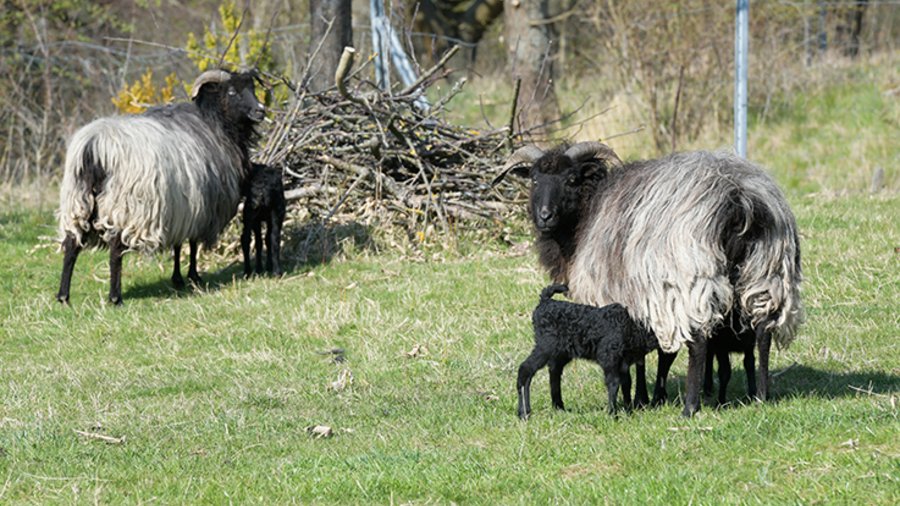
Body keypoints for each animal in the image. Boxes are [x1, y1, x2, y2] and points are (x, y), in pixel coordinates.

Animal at [56, 67, 264, 304]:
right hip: (128, 206)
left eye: (252, 88)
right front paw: (192, 276)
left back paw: (63, 296)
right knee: (116, 250)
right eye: (231, 92)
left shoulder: (182, 207)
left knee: (72, 245)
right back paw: (115, 297)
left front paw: (178, 278)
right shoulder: (199, 208)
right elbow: (191, 245)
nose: (261, 111)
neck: (216, 124)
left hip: (78, 201)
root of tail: (95, 147)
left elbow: (178, 245)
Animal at [516, 284, 656, 420]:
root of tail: (545, 301)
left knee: (554, 371)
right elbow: (614, 382)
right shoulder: (608, 356)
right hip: (545, 345)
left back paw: (559, 408)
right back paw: (524, 413)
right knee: (525, 369)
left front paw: (628, 412)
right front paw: (613, 415)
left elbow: (627, 383)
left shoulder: (624, 363)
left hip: (561, 352)